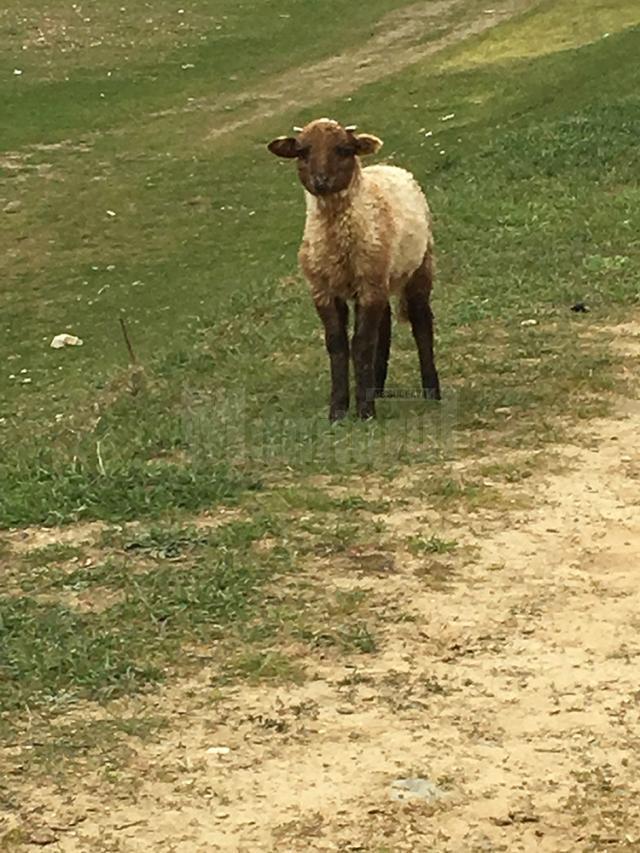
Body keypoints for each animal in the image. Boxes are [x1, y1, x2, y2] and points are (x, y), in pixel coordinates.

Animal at [266, 116, 440, 422]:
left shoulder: (369, 285)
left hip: (418, 265)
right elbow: (337, 344)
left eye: (344, 150)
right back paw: (377, 385)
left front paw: (364, 411)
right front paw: (338, 410)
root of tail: (390, 167)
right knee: (384, 326)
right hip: (382, 275)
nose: (321, 181)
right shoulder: (324, 290)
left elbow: (361, 344)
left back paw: (431, 390)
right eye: (302, 152)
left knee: (421, 321)